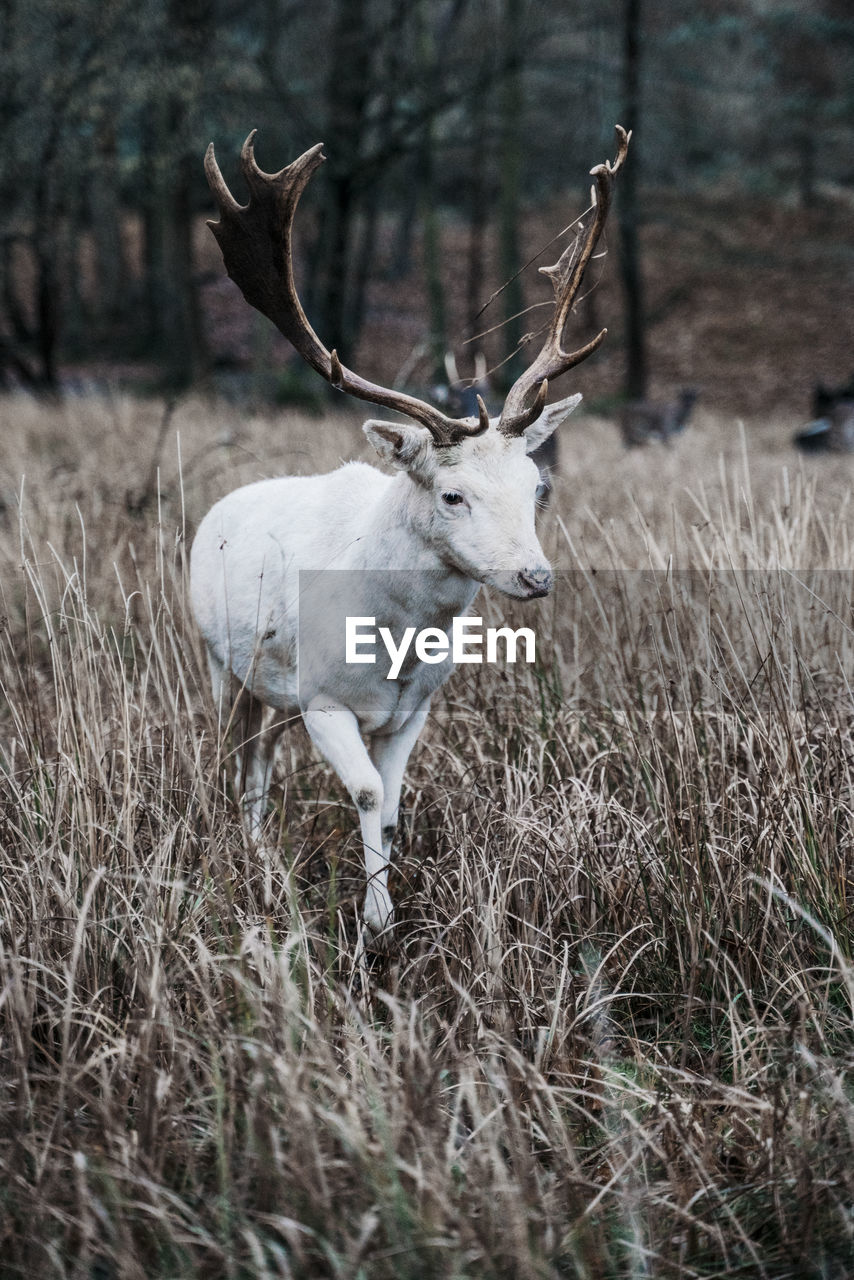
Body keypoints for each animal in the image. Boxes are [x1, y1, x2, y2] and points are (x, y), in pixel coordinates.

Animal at [192, 129, 627, 947]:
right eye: (453, 495)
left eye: (538, 488)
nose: (536, 577)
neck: (391, 644)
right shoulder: (324, 698)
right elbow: (364, 795)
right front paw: (374, 929)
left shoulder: (414, 709)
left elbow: (392, 810)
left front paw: (384, 917)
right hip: (220, 662)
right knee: (239, 756)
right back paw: (249, 854)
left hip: (273, 686)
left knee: (260, 757)